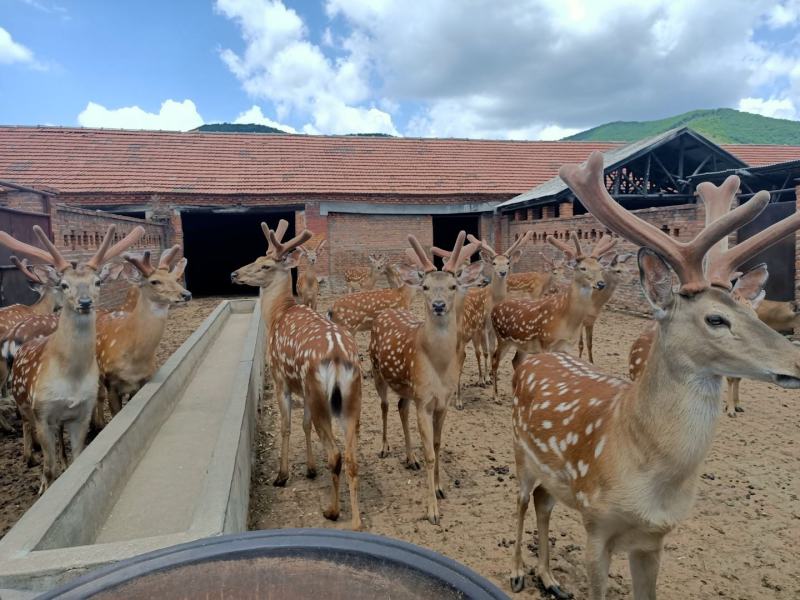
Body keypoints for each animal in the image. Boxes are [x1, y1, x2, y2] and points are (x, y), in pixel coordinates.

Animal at [1, 224, 144, 492]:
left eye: (97, 281)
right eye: (64, 285)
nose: (85, 302)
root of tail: (13, 338)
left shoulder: (79, 412)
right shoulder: (44, 413)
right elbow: (50, 467)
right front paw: (46, 485)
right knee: (25, 419)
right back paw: (31, 456)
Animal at [231, 220, 363, 530]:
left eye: (265, 265)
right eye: (257, 257)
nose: (234, 274)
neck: (278, 314)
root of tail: (339, 359)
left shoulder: (281, 379)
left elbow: (287, 425)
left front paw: (281, 475)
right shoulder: (302, 387)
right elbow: (303, 425)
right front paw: (310, 469)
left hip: (320, 396)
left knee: (336, 454)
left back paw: (332, 511)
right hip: (351, 399)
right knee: (351, 457)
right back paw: (356, 522)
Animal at [369, 231, 484, 525]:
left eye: (453, 286)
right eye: (425, 286)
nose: (439, 305)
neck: (438, 368)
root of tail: (387, 310)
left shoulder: (441, 402)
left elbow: (437, 444)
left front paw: (441, 488)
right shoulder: (424, 400)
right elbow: (430, 453)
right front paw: (432, 510)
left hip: (406, 387)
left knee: (401, 407)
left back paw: (410, 458)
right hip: (376, 370)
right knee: (384, 406)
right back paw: (385, 447)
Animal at [490, 233, 615, 400]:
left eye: (600, 268)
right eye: (583, 268)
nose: (601, 283)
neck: (567, 322)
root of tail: (494, 309)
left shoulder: (566, 347)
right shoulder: (546, 342)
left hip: (523, 345)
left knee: (515, 361)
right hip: (502, 338)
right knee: (495, 359)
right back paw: (496, 396)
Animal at [508, 151, 800, 600]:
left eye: (752, 312)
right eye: (715, 318)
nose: (795, 362)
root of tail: (536, 360)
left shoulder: (654, 539)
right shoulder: (596, 523)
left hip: (555, 479)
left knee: (543, 503)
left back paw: (550, 577)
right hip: (521, 452)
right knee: (523, 503)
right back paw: (518, 571)